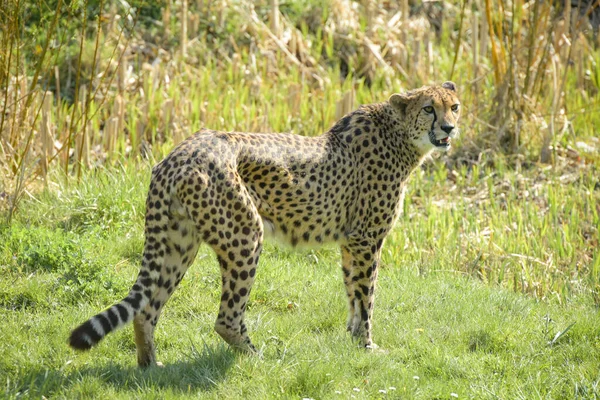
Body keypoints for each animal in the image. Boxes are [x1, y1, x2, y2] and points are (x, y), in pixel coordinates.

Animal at [71, 80, 464, 366]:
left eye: (454, 106)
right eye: (428, 108)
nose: (448, 127)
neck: (399, 135)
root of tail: (178, 153)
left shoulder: (350, 240)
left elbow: (352, 291)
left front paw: (352, 338)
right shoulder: (367, 239)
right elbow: (367, 295)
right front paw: (367, 344)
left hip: (178, 242)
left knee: (146, 309)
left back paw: (150, 367)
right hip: (245, 234)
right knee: (225, 318)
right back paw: (258, 356)